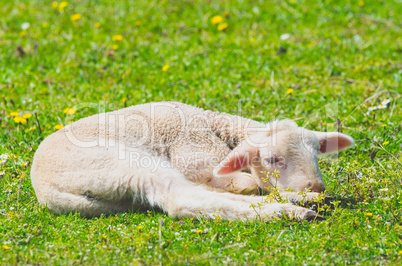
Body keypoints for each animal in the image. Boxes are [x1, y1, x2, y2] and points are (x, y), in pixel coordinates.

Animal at [29, 102, 354, 220]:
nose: (316, 188)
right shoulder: (195, 156)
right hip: (128, 164)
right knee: (181, 199)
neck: (215, 125)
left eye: (316, 155)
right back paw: (292, 211)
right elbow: (247, 182)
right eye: (274, 159)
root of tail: (45, 190)